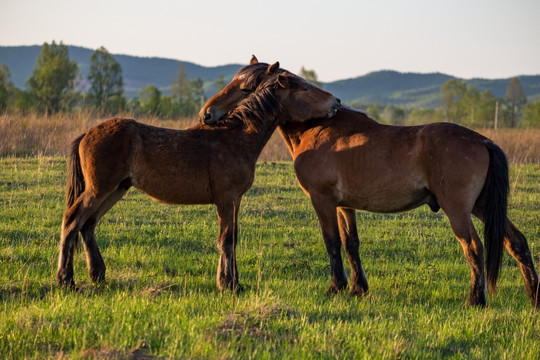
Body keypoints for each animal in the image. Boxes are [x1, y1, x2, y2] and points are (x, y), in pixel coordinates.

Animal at [57, 62, 340, 292]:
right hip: (99, 189)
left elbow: (232, 237)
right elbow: (226, 239)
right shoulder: (226, 198)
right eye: (304, 88)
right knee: (72, 220)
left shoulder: (235, 200)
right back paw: (66, 280)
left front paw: (234, 282)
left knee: (87, 224)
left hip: (116, 189)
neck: (235, 138)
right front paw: (227, 284)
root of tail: (87, 133)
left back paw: (97, 275)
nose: (336, 102)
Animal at [200, 55, 536, 306]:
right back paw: (533, 297)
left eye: (245, 88)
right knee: (517, 243)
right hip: (484, 207)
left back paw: (476, 300)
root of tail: (482, 141)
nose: (207, 113)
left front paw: (336, 287)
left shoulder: (322, 200)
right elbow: (351, 244)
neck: (320, 129)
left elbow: (332, 242)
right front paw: (358, 289)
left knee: (474, 247)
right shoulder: (344, 205)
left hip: (459, 210)